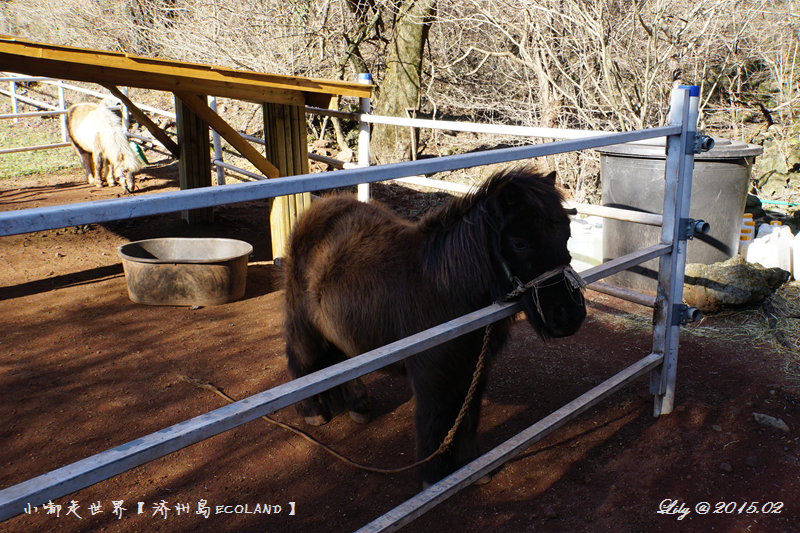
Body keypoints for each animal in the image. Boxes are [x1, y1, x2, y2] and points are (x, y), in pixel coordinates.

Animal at [284, 167, 584, 486]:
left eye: (567, 235)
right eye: (520, 243)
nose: (571, 316)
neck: (447, 289)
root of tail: (320, 208)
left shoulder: (474, 367)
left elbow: (467, 415)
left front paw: (469, 466)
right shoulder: (431, 375)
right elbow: (434, 418)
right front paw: (433, 475)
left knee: (341, 360)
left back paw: (357, 405)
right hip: (303, 325)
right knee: (301, 359)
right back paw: (313, 411)